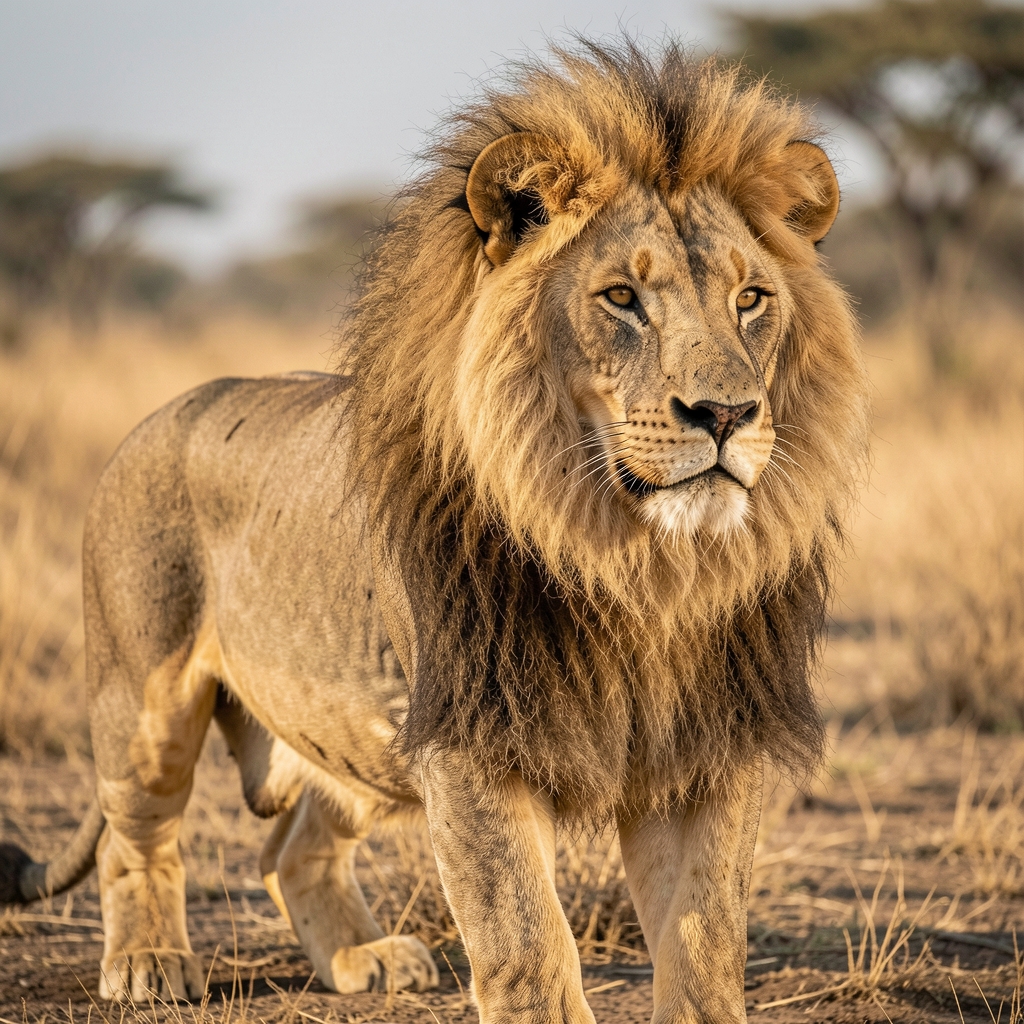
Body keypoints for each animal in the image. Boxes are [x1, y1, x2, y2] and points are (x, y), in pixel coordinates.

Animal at [0, 41, 868, 1023]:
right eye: (620, 297)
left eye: (751, 298)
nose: (726, 414)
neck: (638, 565)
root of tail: (162, 414)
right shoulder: (471, 741)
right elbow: (527, 942)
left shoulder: (711, 750)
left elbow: (706, 940)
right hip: (145, 696)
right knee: (135, 833)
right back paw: (149, 962)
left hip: (360, 723)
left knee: (290, 847)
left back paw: (363, 958)